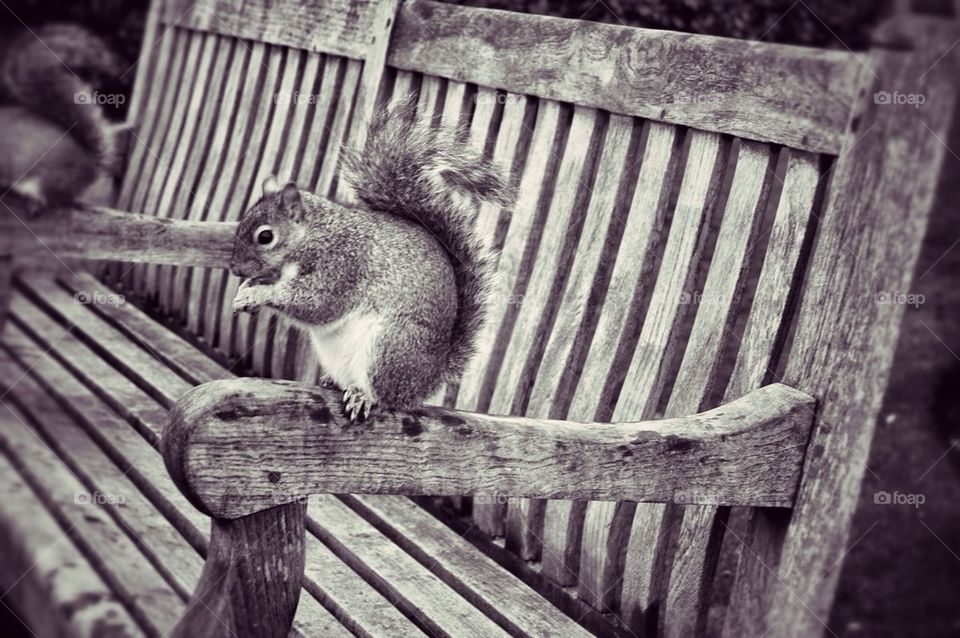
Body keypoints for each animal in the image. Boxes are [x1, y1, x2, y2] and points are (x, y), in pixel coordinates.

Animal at [229, 98, 512, 420]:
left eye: (265, 236)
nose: (234, 268)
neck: (315, 235)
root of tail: (428, 381)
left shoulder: (342, 265)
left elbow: (315, 304)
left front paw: (257, 294)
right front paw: (245, 290)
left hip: (390, 347)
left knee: (386, 396)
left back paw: (363, 396)